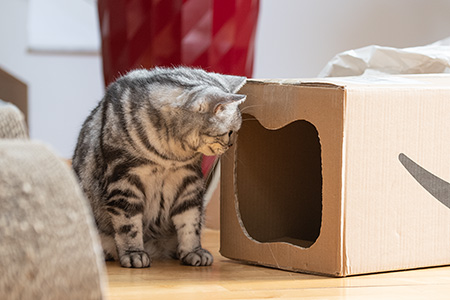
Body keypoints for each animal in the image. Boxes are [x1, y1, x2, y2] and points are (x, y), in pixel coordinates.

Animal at [72, 67, 246, 268]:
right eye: (230, 132)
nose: (231, 145)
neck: (170, 157)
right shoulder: (124, 182)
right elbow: (128, 225)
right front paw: (134, 253)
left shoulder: (189, 183)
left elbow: (191, 223)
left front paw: (193, 251)